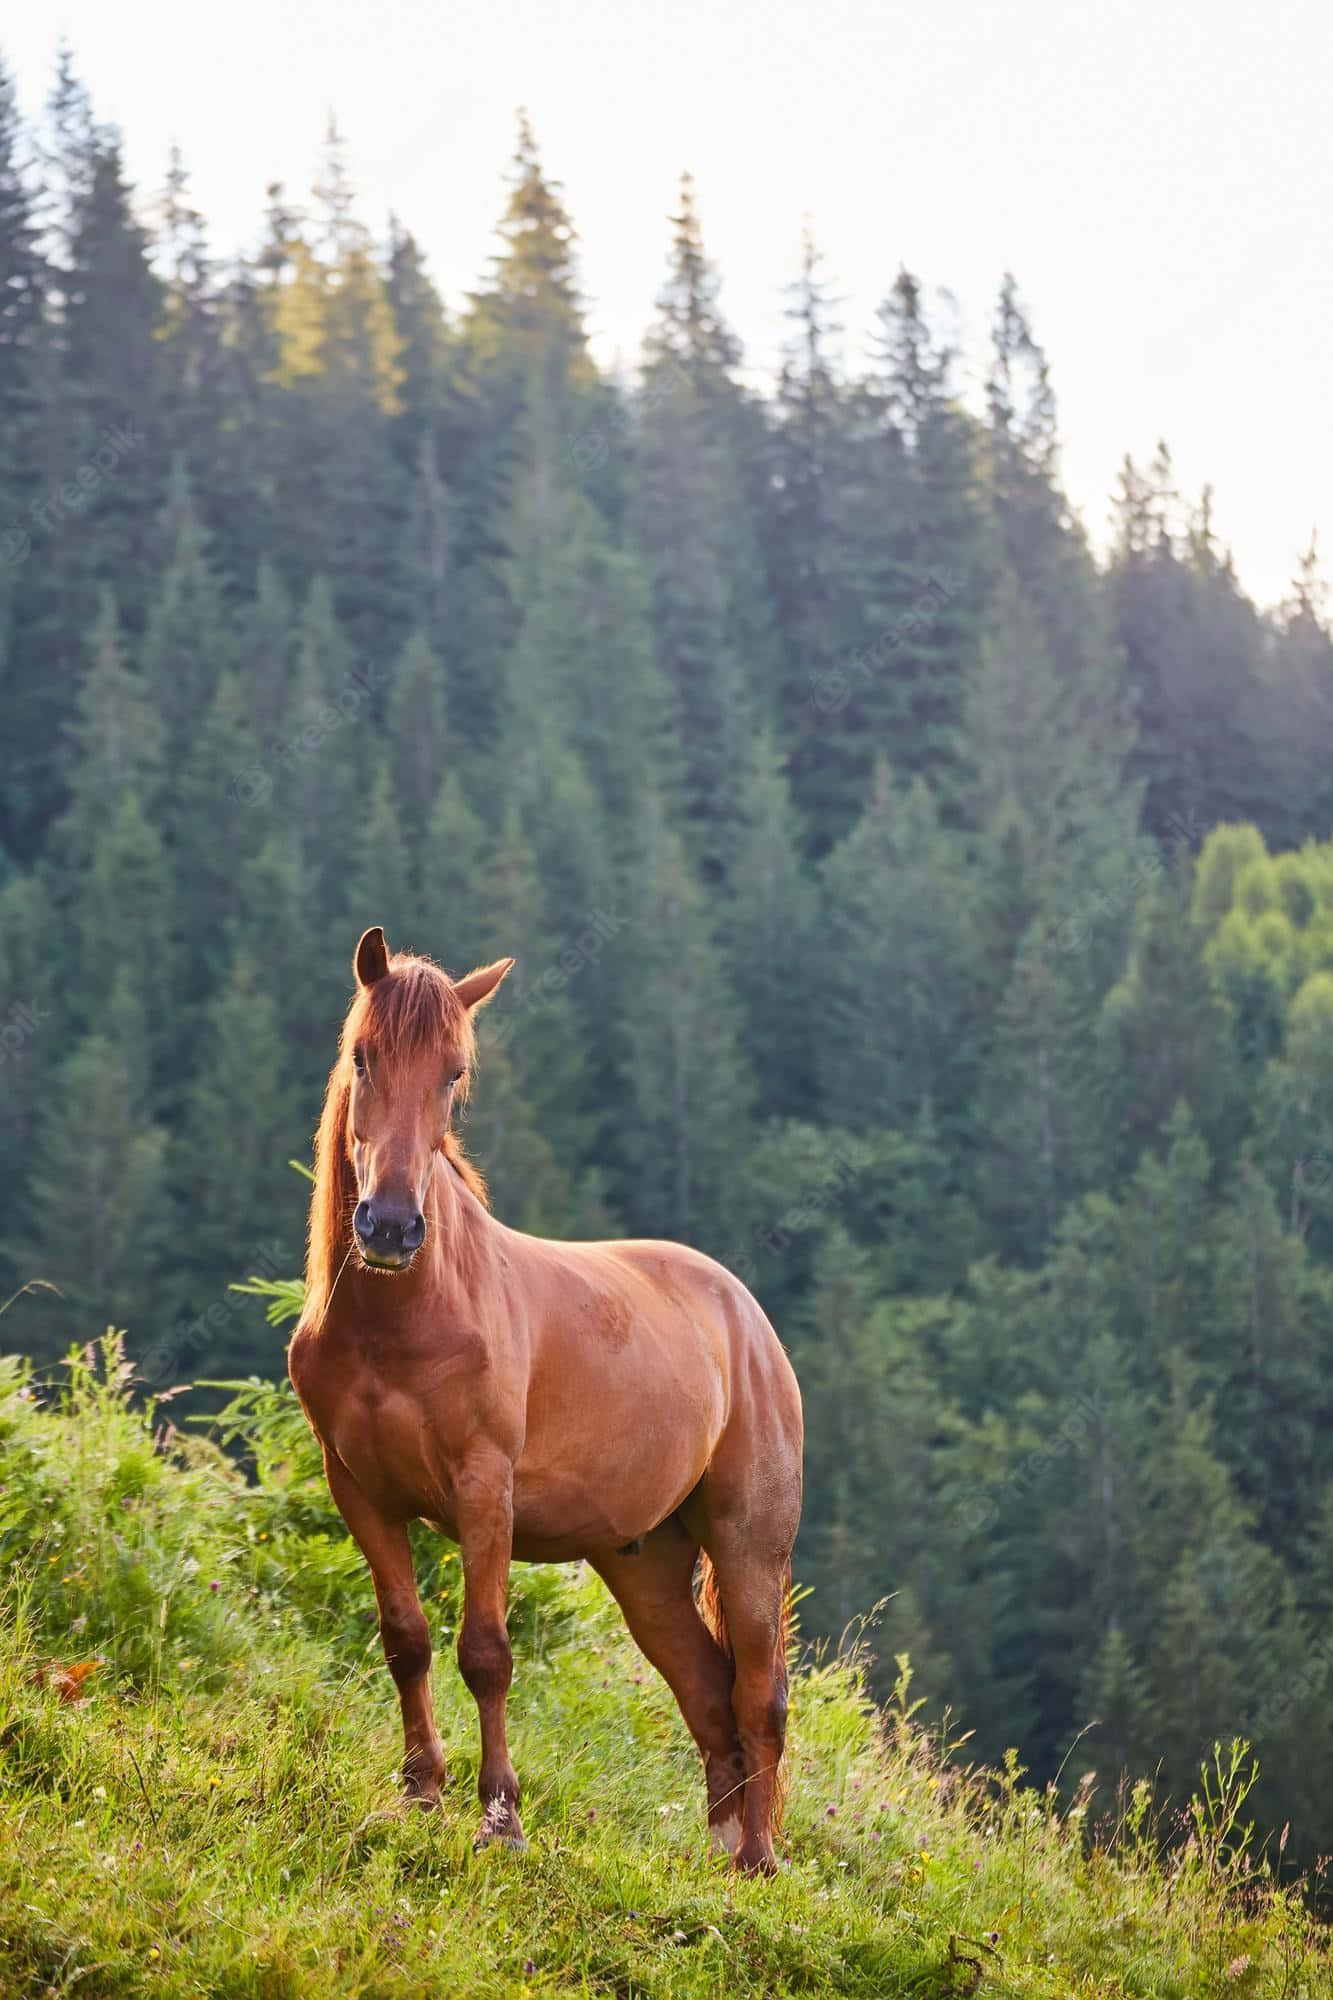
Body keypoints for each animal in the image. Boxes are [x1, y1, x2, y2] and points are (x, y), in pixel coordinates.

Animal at [290, 928, 804, 1864]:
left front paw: (501, 1820)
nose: (391, 1226)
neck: (403, 1321)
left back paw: (757, 1860)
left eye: (454, 1072)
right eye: (362, 1055)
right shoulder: (360, 1491)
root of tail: (744, 1316)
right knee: (709, 1697)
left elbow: (486, 1654)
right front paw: (420, 1796)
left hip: (750, 1546)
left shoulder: (482, 1489)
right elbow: (406, 1641)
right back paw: (718, 1861)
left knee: (759, 1698)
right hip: (645, 1563)